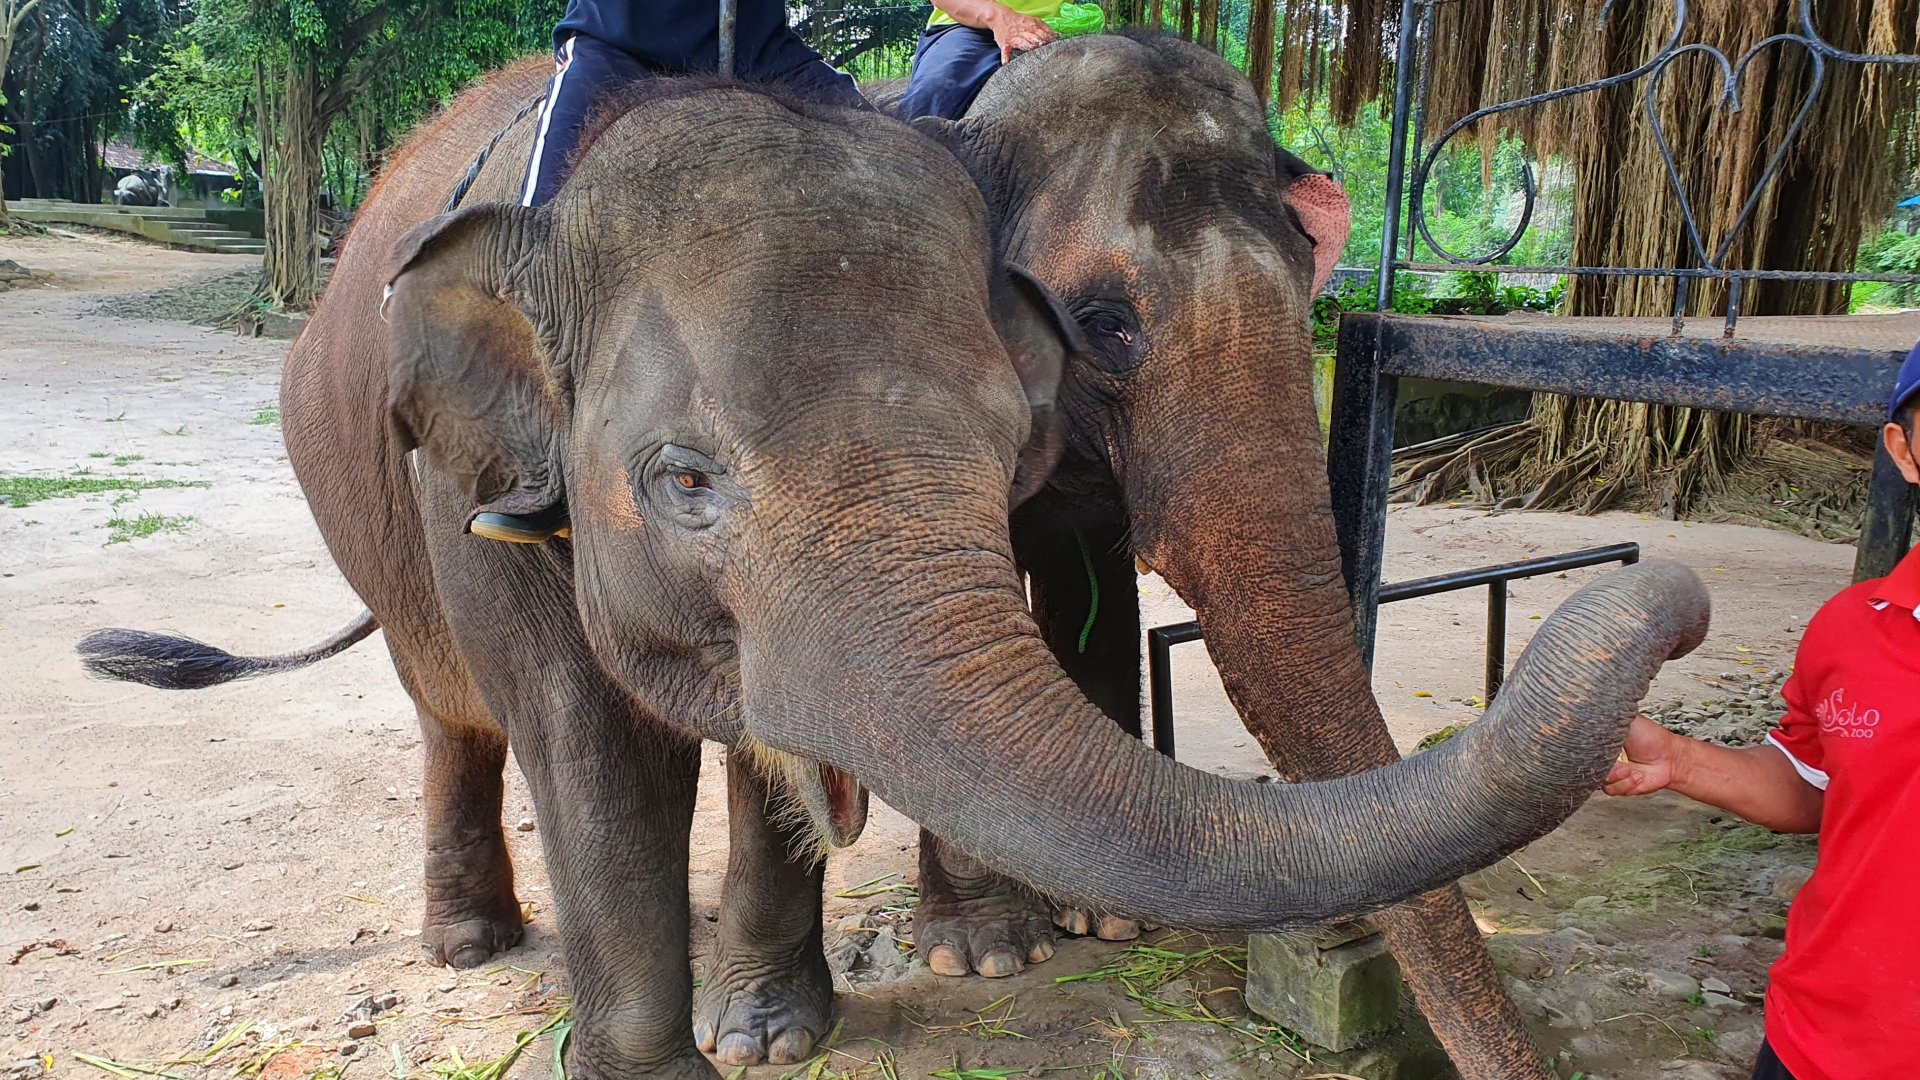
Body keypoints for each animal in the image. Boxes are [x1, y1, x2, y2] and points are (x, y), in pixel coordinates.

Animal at [76, 62, 1712, 1078]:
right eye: (683, 483)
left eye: (1008, 428)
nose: (1674, 604)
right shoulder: (481, 483)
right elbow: (589, 739)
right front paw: (674, 1055)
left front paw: (844, 1013)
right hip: (370, 498)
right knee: (457, 711)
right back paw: (473, 942)